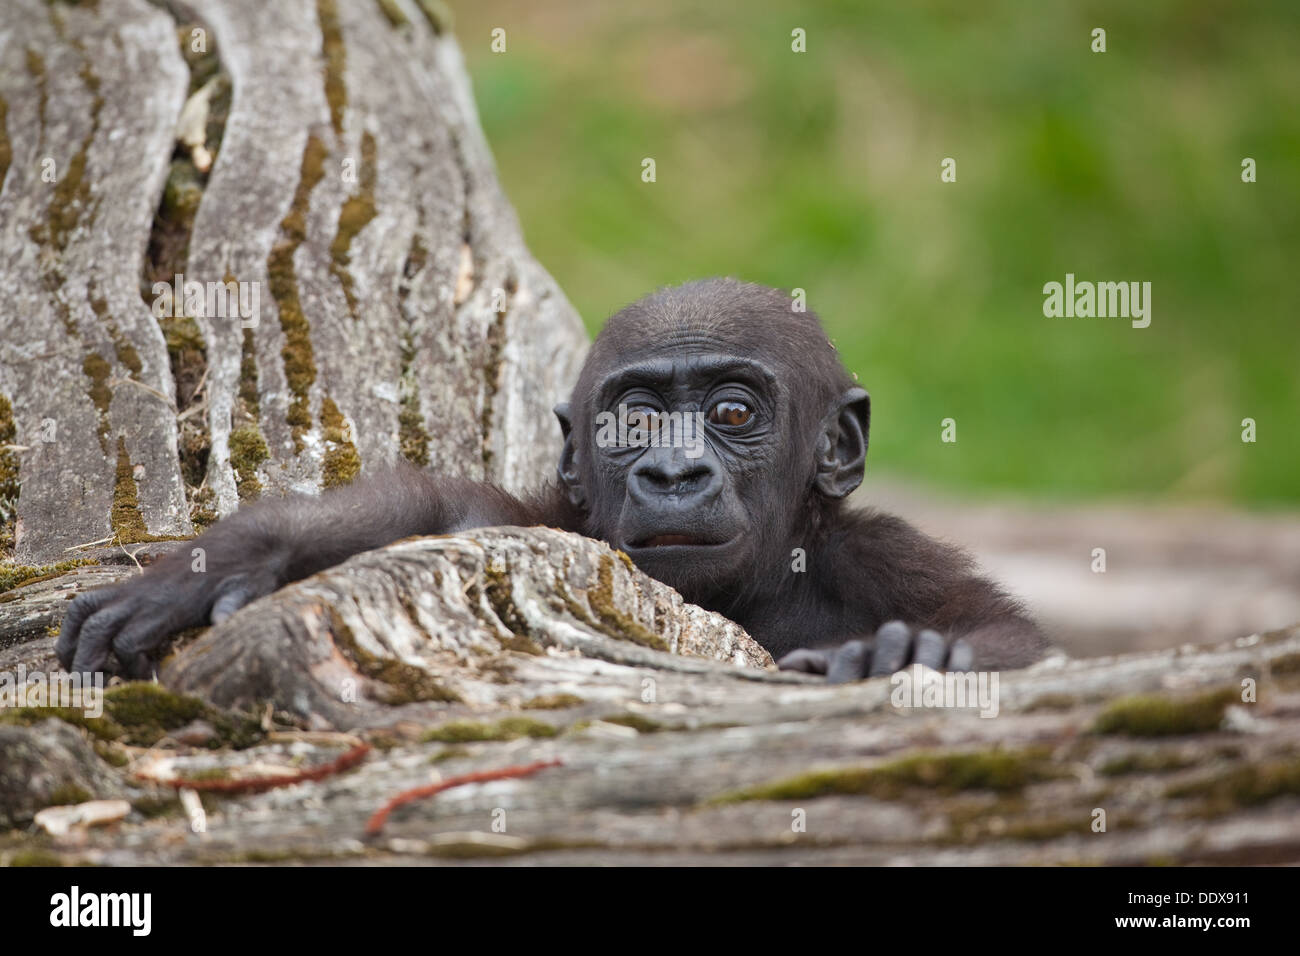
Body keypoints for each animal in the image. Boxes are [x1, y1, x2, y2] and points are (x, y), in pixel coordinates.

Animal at [58, 277, 1045, 681]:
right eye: (634, 420)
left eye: (731, 414)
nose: (674, 470)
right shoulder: (543, 522)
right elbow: (434, 516)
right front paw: (231, 558)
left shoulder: (880, 556)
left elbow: (1004, 636)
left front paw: (904, 655)